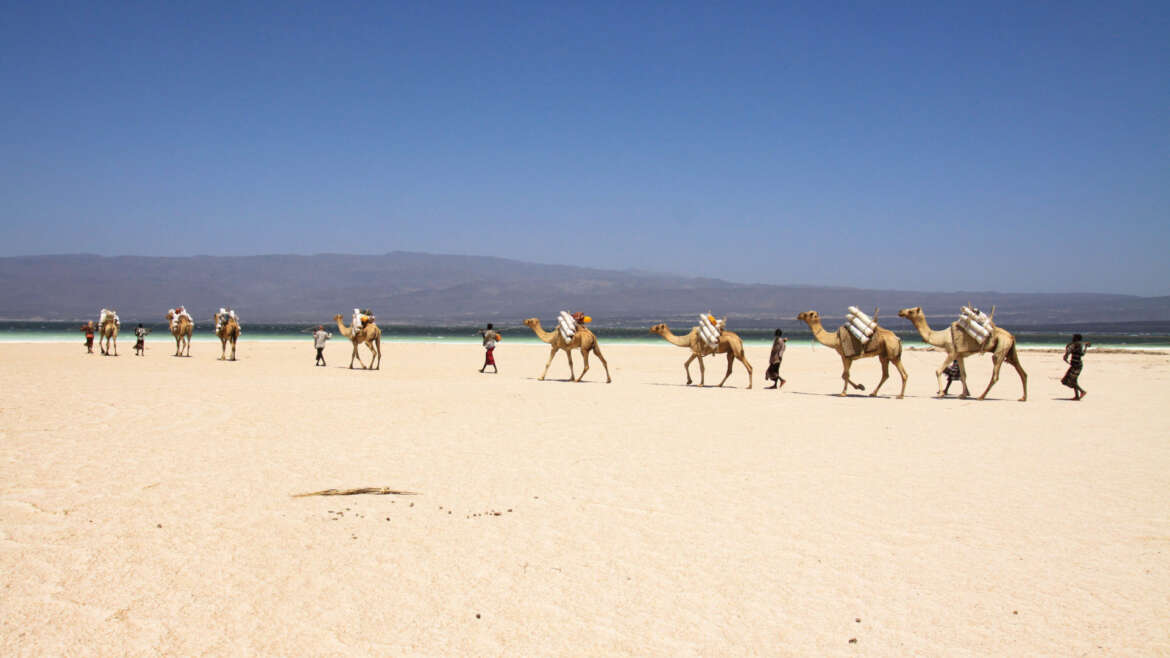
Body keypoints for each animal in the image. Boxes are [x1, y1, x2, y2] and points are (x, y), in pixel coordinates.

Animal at [893, 306, 1024, 400]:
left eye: (911, 311)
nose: (900, 311)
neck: (943, 337)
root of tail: (1011, 336)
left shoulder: (952, 352)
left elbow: (938, 370)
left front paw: (941, 393)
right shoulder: (959, 355)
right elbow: (964, 375)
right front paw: (963, 395)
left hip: (1001, 349)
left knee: (996, 374)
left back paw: (981, 397)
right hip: (1010, 351)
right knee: (1021, 371)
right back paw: (1023, 397)